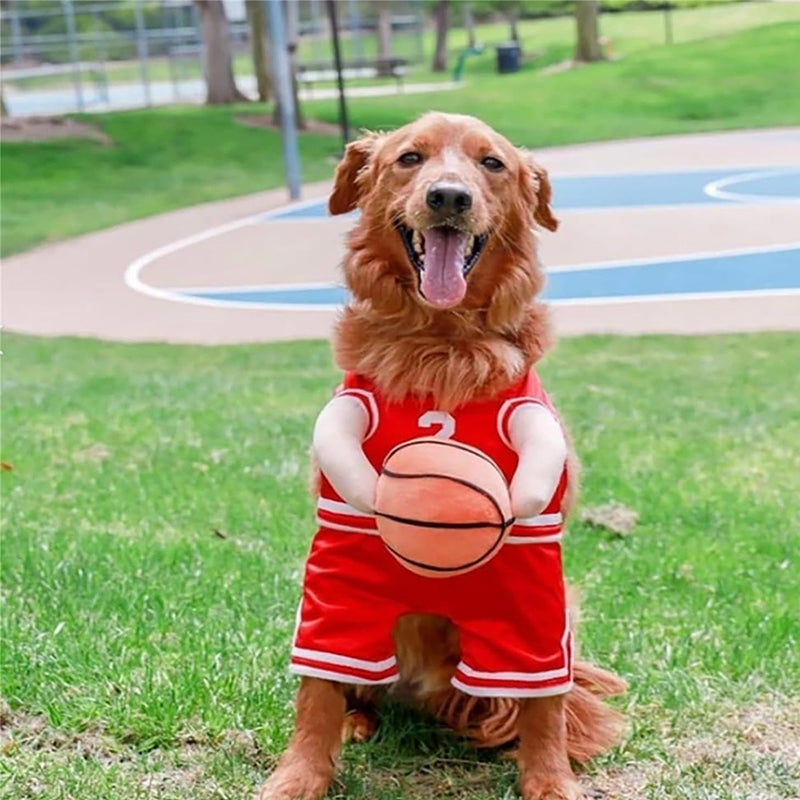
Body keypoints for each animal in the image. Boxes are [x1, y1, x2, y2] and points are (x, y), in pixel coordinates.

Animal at [256, 112, 624, 800]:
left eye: (492, 163)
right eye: (410, 158)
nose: (448, 197)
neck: (441, 345)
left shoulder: (534, 574)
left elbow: (545, 702)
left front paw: (549, 778)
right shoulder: (337, 565)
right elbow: (316, 689)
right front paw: (298, 776)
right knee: (352, 690)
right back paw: (357, 722)